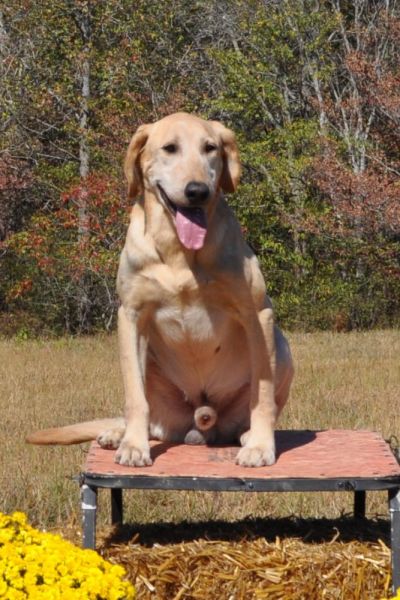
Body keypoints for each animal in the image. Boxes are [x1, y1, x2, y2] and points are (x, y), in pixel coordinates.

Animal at [27, 112, 294, 468]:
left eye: (210, 148)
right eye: (170, 148)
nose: (198, 191)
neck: (177, 250)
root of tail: (201, 424)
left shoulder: (257, 314)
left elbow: (261, 394)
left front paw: (261, 446)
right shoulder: (131, 316)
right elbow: (135, 397)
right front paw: (134, 446)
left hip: (283, 348)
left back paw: (248, 434)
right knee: (147, 415)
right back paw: (119, 433)